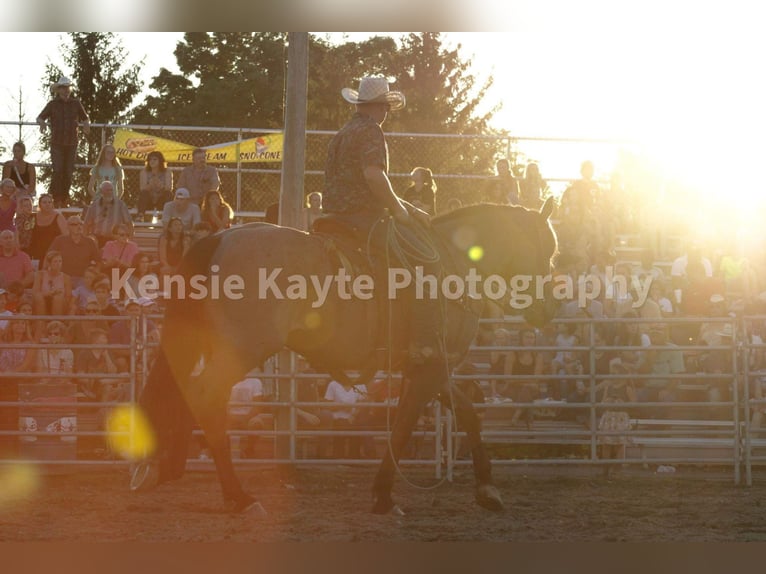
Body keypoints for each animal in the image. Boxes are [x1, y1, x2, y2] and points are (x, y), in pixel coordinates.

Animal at [134, 200, 560, 516]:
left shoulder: (429, 367)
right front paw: (382, 494)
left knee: (186, 391)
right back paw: (238, 496)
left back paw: (166, 468)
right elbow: (403, 426)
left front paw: (487, 489)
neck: (456, 260)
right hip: (243, 349)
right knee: (206, 395)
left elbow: (468, 413)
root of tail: (222, 238)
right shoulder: (431, 367)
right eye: (550, 249)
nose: (548, 309)